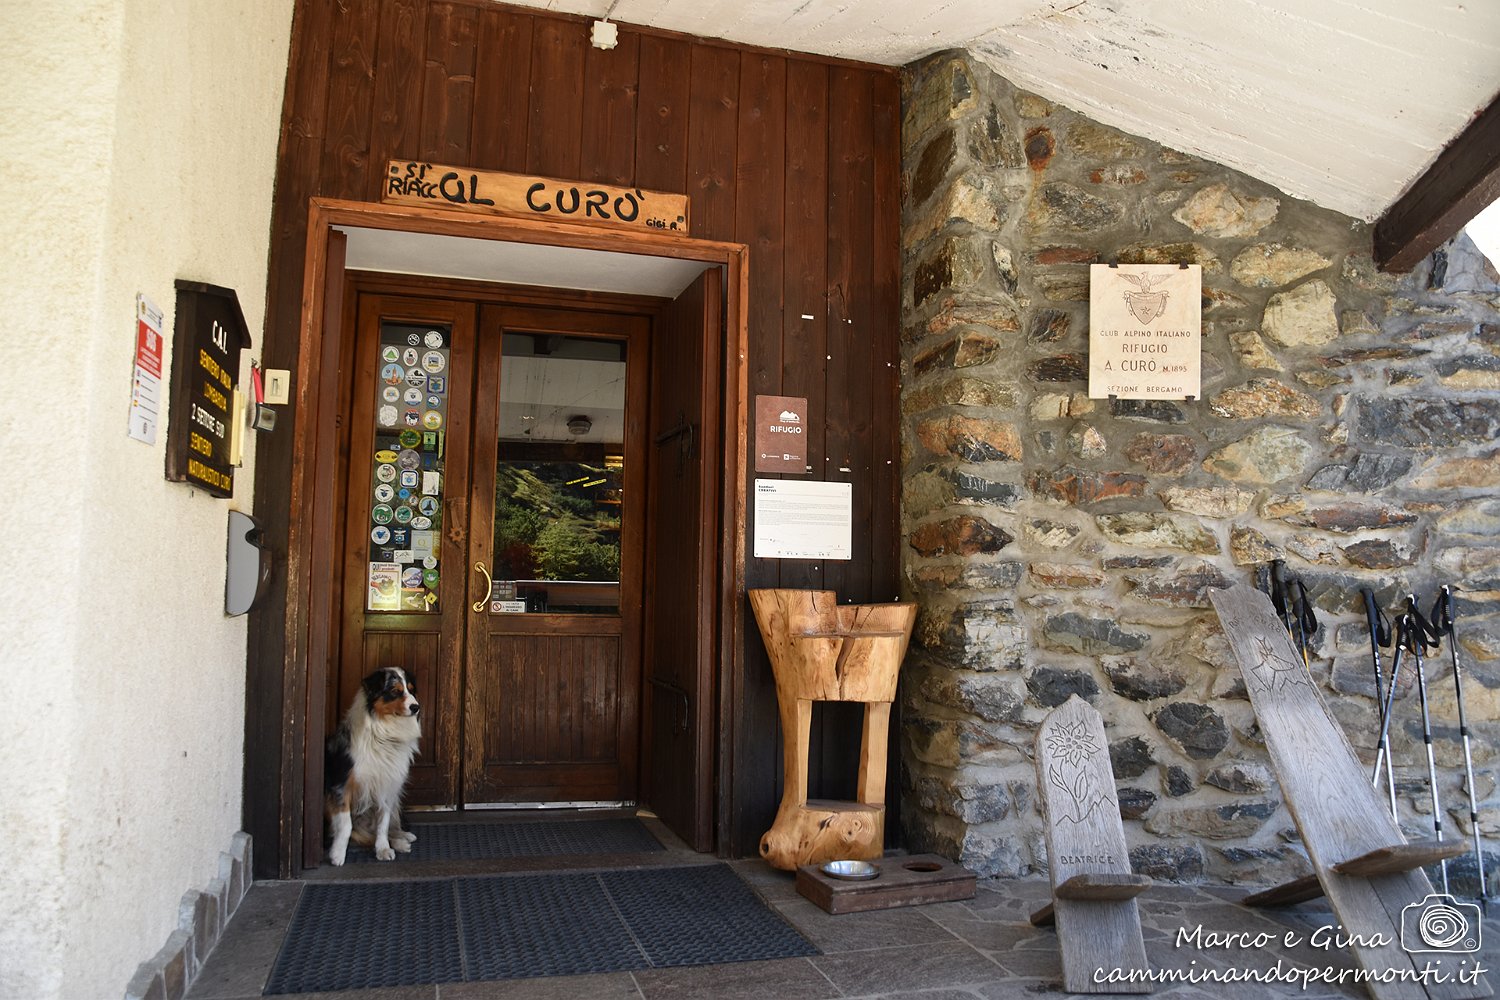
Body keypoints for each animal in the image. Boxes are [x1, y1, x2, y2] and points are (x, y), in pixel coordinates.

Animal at [325, 668, 420, 863]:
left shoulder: (386, 784)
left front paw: (383, 848)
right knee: (361, 834)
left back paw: (402, 837)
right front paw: (337, 854)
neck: (384, 733)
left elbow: (383, 823)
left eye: (411, 690)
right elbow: (346, 825)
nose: (416, 707)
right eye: (395, 691)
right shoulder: (341, 786)